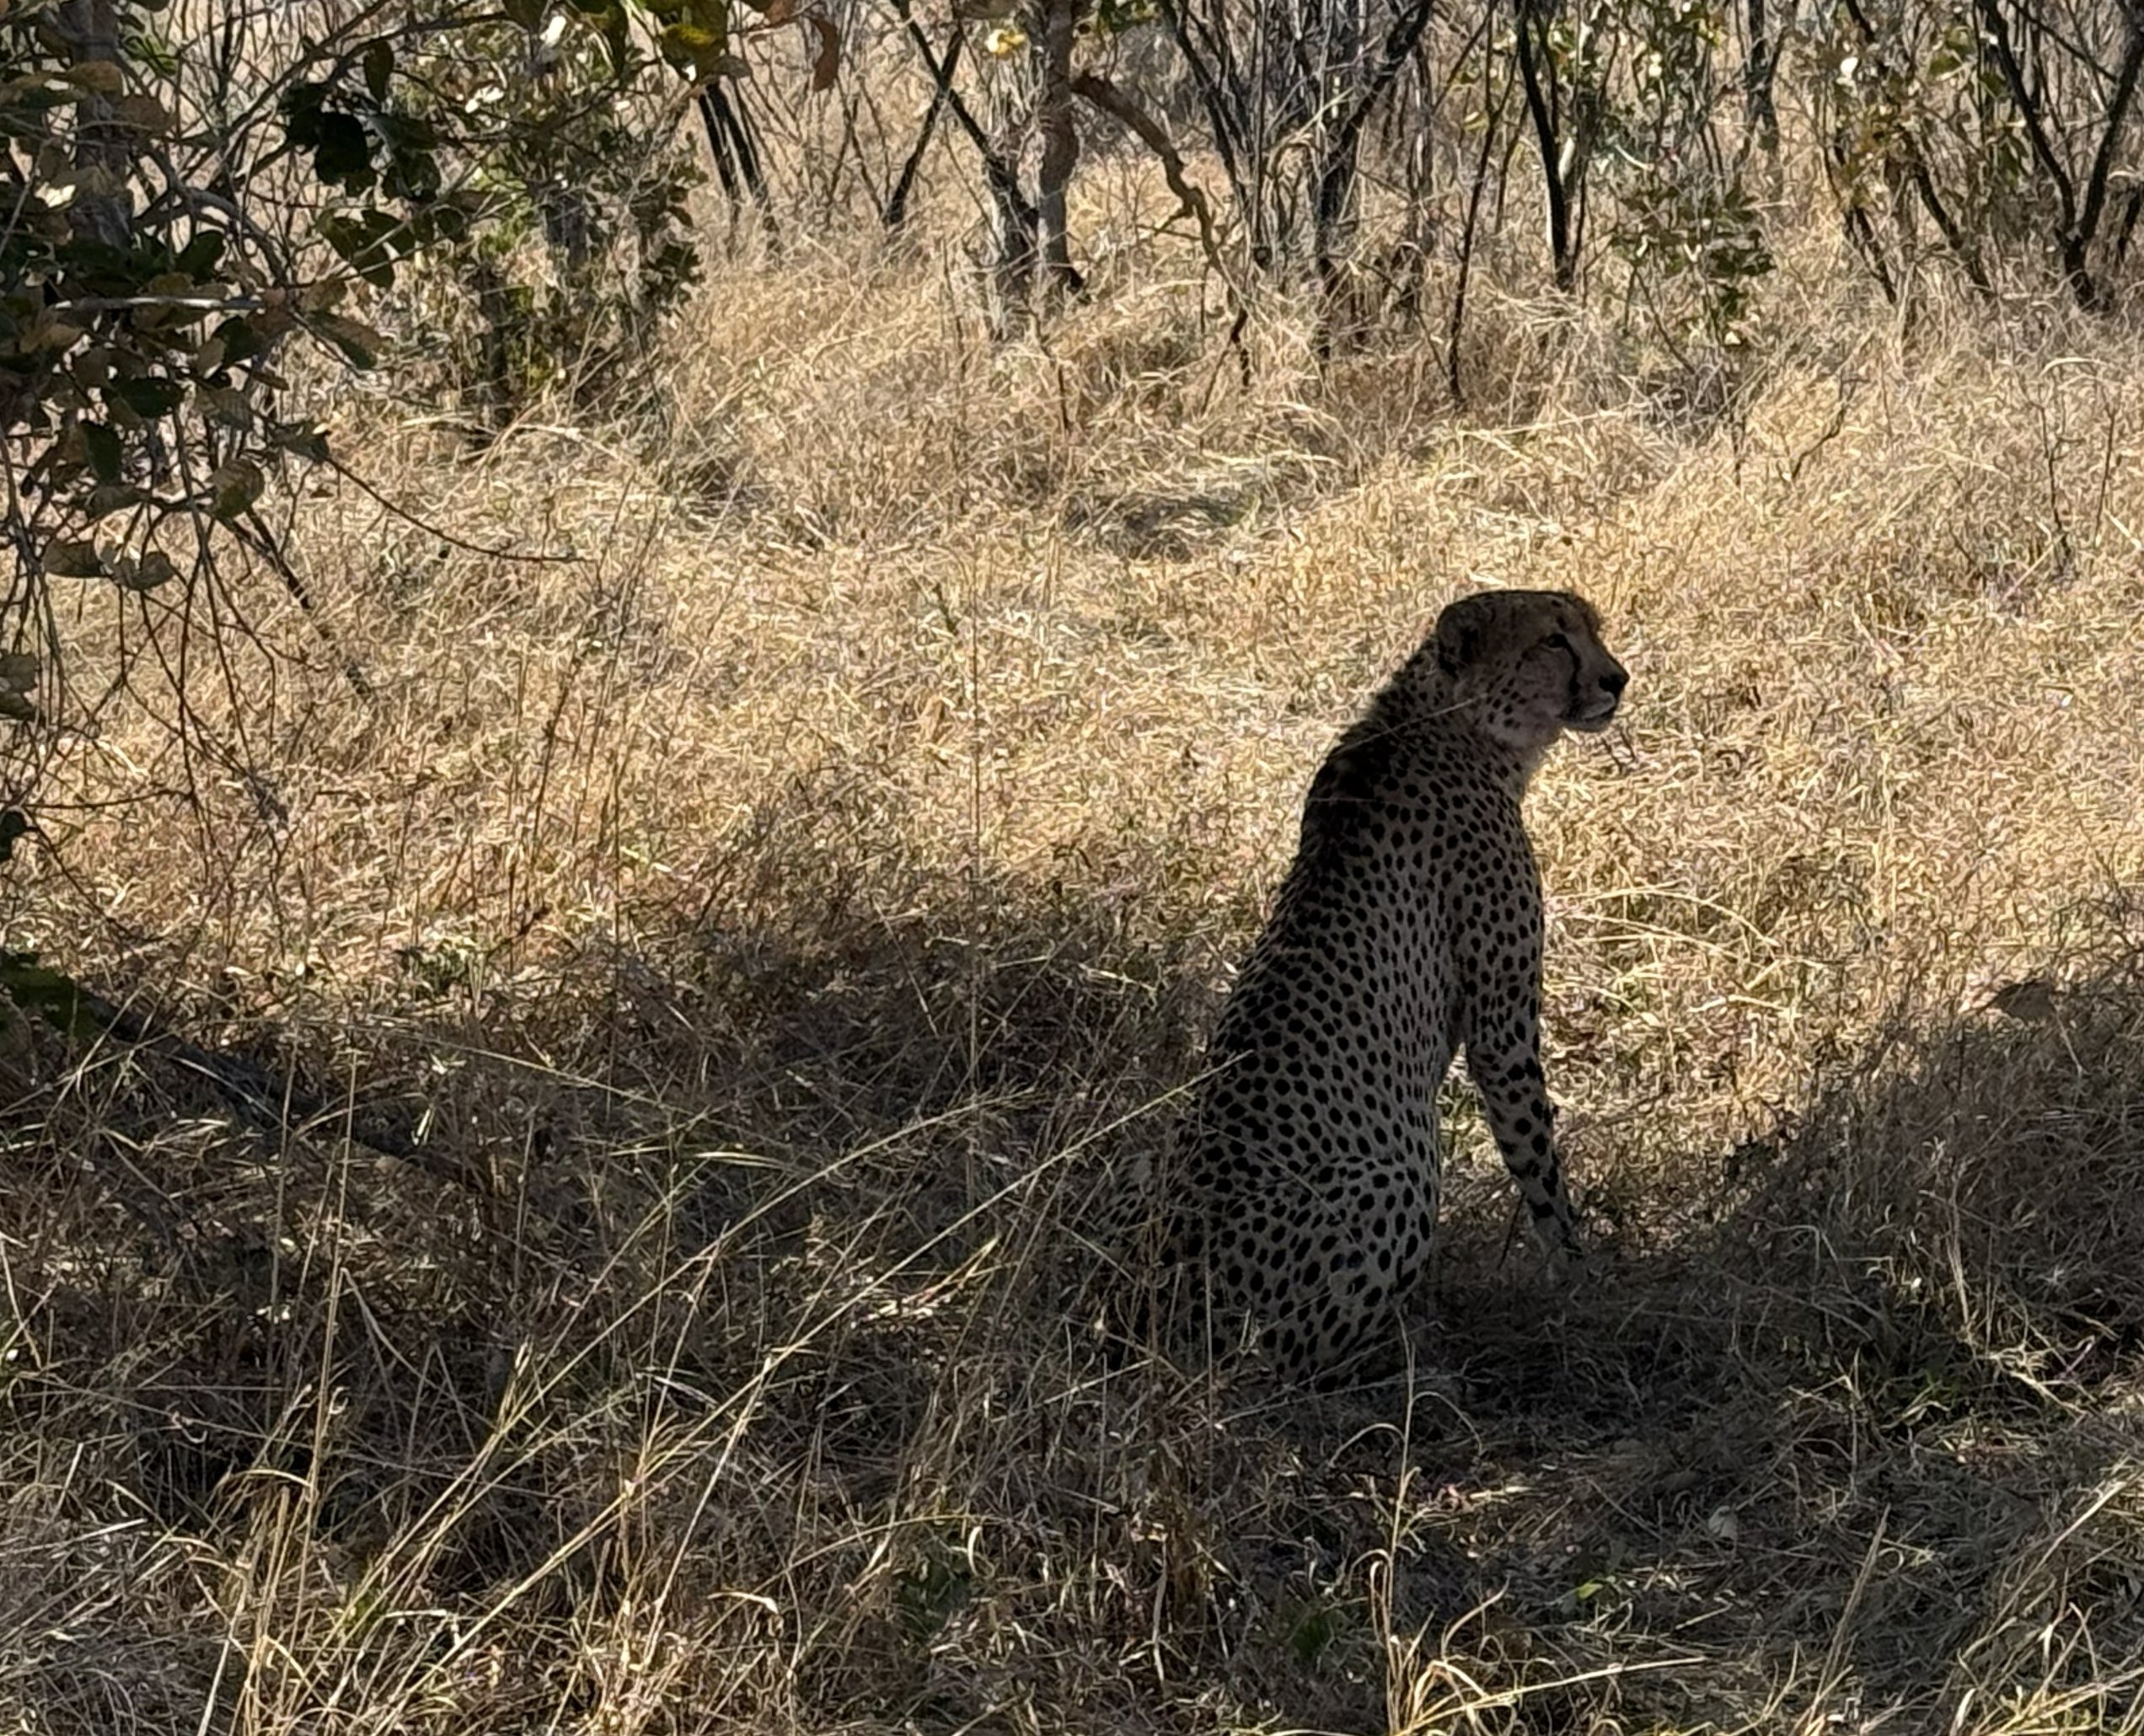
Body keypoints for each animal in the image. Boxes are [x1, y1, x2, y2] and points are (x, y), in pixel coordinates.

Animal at [1124, 588, 1628, 1381]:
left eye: (1590, 630)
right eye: (1554, 640)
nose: (1617, 679)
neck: (1443, 720)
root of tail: (1160, 1310)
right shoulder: (1501, 1028)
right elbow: (1536, 1156)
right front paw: (1578, 1274)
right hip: (1401, 1177)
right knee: (1287, 1364)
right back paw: (1416, 1351)